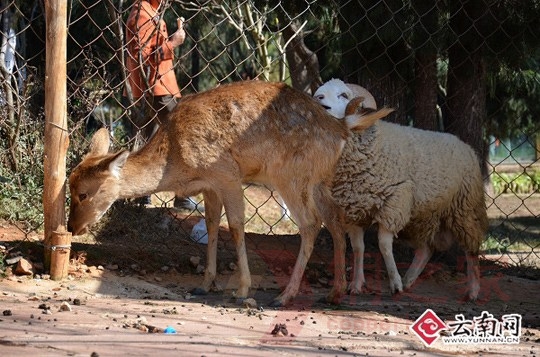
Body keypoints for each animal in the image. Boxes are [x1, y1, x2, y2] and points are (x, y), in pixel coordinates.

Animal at [67, 80, 392, 306]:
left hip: (290, 176)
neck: (177, 162)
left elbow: (235, 226)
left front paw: (242, 288)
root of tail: (341, 129)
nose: (72, 227)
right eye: (68, 184)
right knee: (335, 223)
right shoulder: (209, 186)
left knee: (311, 224)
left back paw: (284, 296)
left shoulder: (226, 174)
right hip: (319, 181)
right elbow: (212, 225)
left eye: (83, 193)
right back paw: (335, 293)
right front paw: (205, 283)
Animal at [314, 79, 488, 298]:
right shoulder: (353, 209)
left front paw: (394, 283)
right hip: (421, 216)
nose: (319, 101)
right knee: (425, 250)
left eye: (344, 95)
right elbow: (358, 248)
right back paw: (409, 279)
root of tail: (465, 145)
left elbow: (384, 245)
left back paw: (473, 290)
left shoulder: (394, 202)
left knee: (471, 249)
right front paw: (356, 284)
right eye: (318, 93)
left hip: (465, 207)